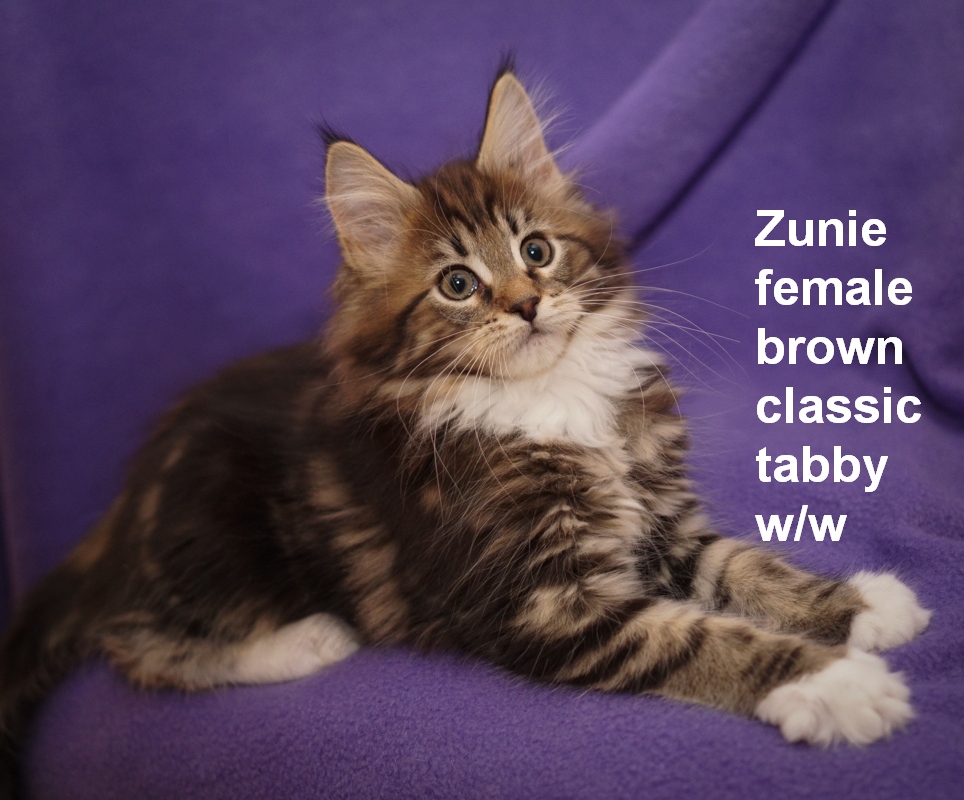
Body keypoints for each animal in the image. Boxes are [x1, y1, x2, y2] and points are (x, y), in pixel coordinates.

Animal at [0, 66, 932, 796]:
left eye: (537, 252)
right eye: (457, 283)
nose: (526, 306)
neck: (548, 397)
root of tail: (121, 511)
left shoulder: (663, 521)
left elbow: (745, 566)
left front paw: (860, 607)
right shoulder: (548, 605)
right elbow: (700, 638)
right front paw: (840, 687)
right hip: (216, 540)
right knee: (138, 647)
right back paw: (306, 640)